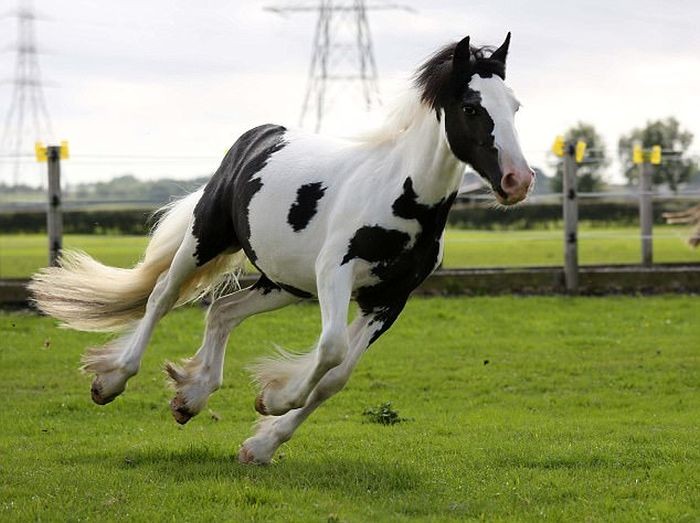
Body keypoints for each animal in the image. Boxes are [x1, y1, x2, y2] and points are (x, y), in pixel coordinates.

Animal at [27, 34, 532, 464]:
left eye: (515, 106)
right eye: (471, 107)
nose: (518, 180)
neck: (404, 196)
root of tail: (259, 135)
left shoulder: (389, 299)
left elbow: (335, 378)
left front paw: (260, 445)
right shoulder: (336, 270)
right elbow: (330, 350)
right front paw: (272, 399)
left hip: (285, 283)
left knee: (223, 311)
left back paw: (190, 398)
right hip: (206, 238)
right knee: (162, 296)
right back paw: (112, 381)